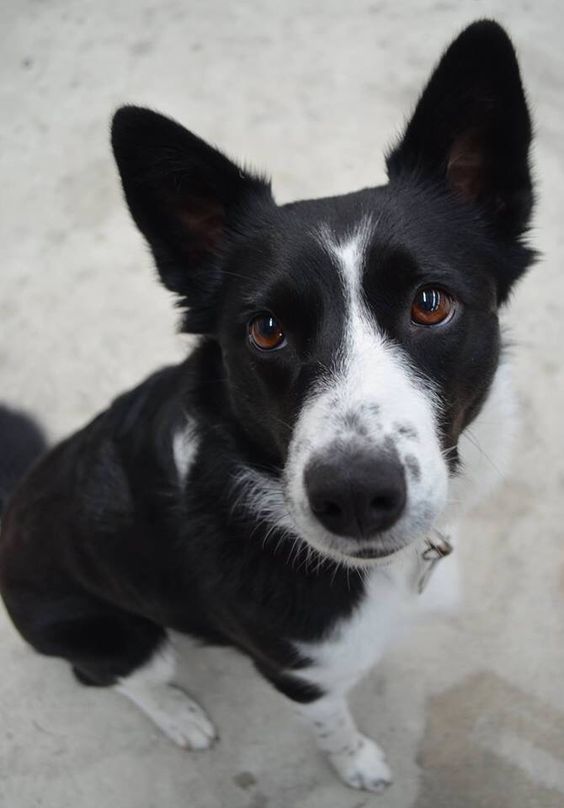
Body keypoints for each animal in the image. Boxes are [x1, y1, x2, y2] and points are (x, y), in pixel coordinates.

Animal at [0, 20, 536, 796]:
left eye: (430, 302)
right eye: (267, 329)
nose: (355, 496)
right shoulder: (301, 676)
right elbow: (334, 726)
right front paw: (358, 764)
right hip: (119, 633)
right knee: (113, 676)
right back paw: (179, 715)